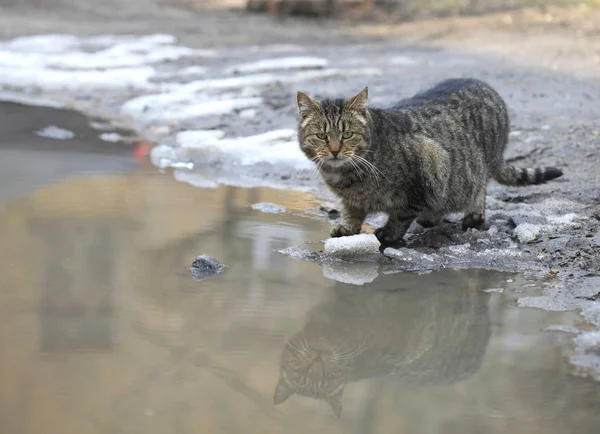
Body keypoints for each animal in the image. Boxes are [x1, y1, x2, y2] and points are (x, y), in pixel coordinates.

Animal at [298, 78, 564, 251]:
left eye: (347, 134)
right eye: (321, 136)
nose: (334, 150)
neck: (342, 174)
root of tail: (484, 85)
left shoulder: (422, 171)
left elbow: (400, 215)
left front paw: (389, 233)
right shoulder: (350, 200)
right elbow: (351, 212)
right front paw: (347, 229)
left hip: (471, 169)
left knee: (479, 189)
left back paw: (471, 216)